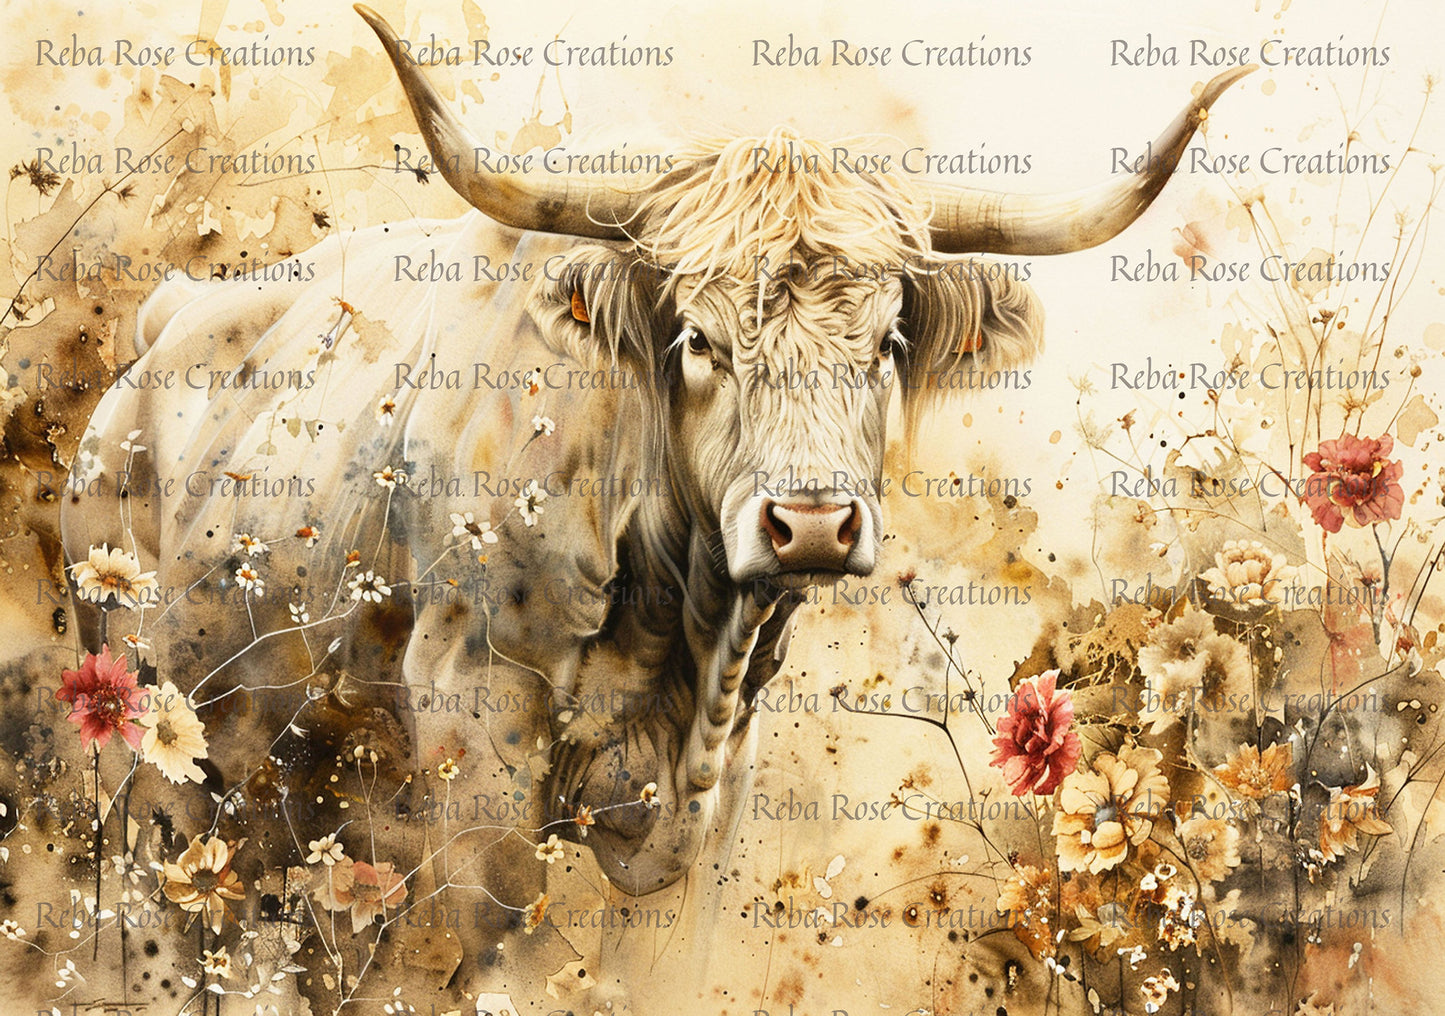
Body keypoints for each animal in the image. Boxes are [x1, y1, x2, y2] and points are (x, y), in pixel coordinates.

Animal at [55, 3, 1250, 1003]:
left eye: (886, 342)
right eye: (698, 341)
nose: (810, 524)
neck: (684, 627)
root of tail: (164, 320)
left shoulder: (711, 811)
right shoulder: (473, 725)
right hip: (160, 740)